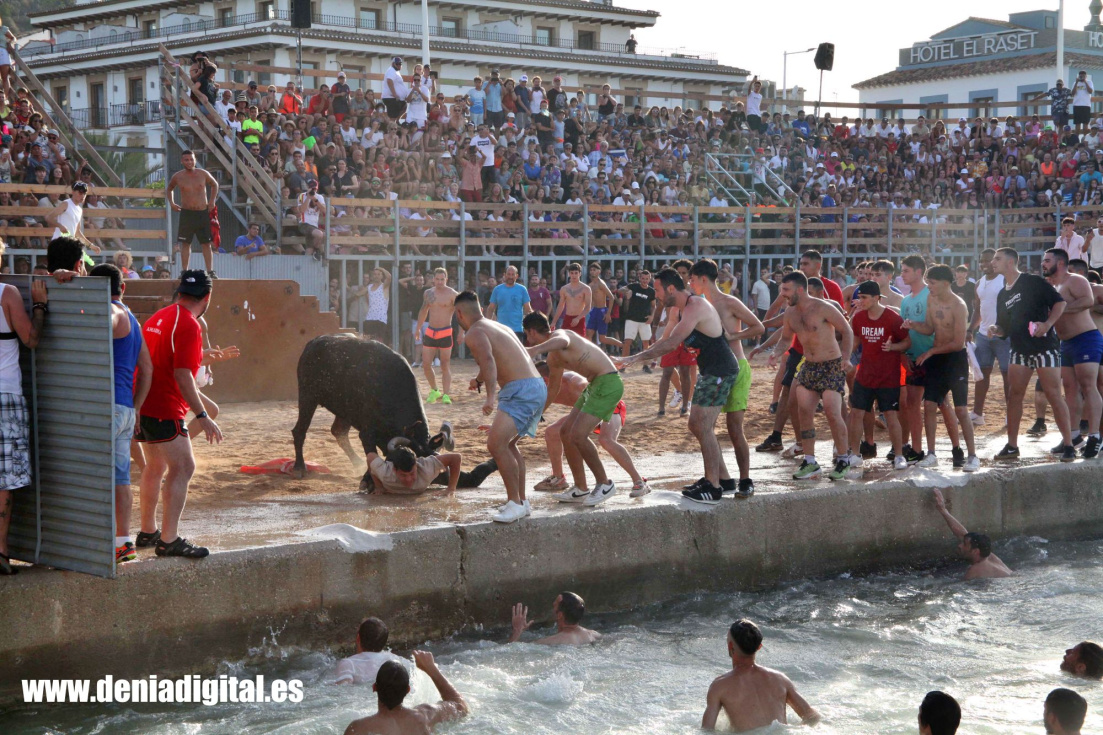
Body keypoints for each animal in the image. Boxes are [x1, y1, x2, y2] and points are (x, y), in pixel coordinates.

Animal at [292, 334, 446, 491]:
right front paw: (367, 480)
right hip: (308, 397)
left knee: (338, 432)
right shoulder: (367, 434)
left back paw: (357, 462)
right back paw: (299, 467)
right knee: (299, 431)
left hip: (344, 411)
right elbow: (372, 454)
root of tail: (313, 342)